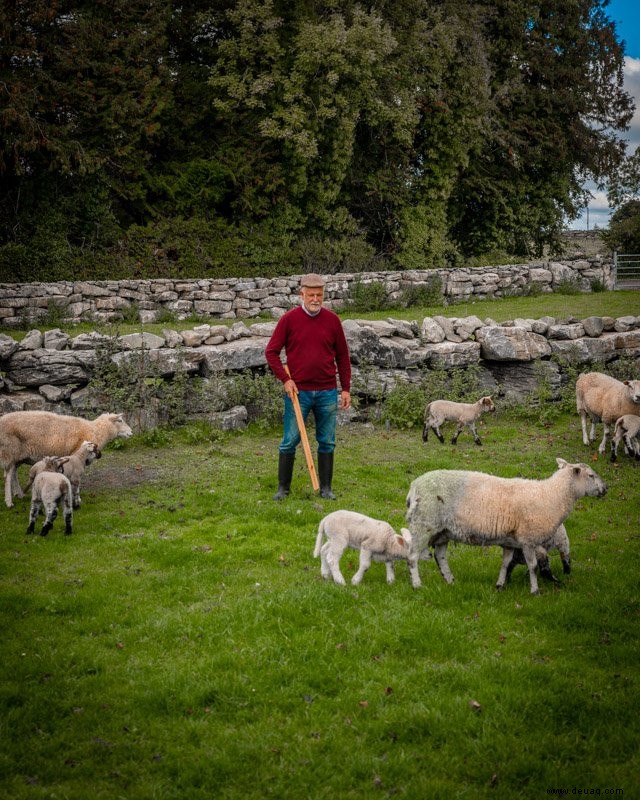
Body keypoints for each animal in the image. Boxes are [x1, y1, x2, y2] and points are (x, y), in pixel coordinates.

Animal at [0, 412, 132, 506]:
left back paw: (19, 493)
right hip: (9, 451)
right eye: (120, 420)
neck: (95, 430)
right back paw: (9, 502)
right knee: (8, 475)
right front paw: (75, 497)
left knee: (13, 473)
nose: (131, 432)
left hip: (18, 455)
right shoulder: (75, 457)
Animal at [402, 456, 608, 592]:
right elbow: (533, 566)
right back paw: (417, 584)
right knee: (412, 556)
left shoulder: (510, 541)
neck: (551, 495)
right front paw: (535, 591)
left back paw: (450, 581)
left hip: (443, 531)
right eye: (591, 475)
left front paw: (500, 585)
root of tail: (413, 487)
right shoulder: (528, 539)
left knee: (440, 556)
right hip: (424, 524)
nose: (606, 489)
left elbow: (505, 564)